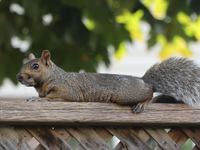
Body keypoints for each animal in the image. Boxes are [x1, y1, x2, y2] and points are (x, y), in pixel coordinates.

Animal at [16, 49, 200, 113]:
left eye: (35, 66)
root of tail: (143, 80)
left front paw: (36, 99)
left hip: (125, 94)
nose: (18, 77)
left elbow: (53, 97)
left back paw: (143, 103)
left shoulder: (67, 90)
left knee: (148, 93)